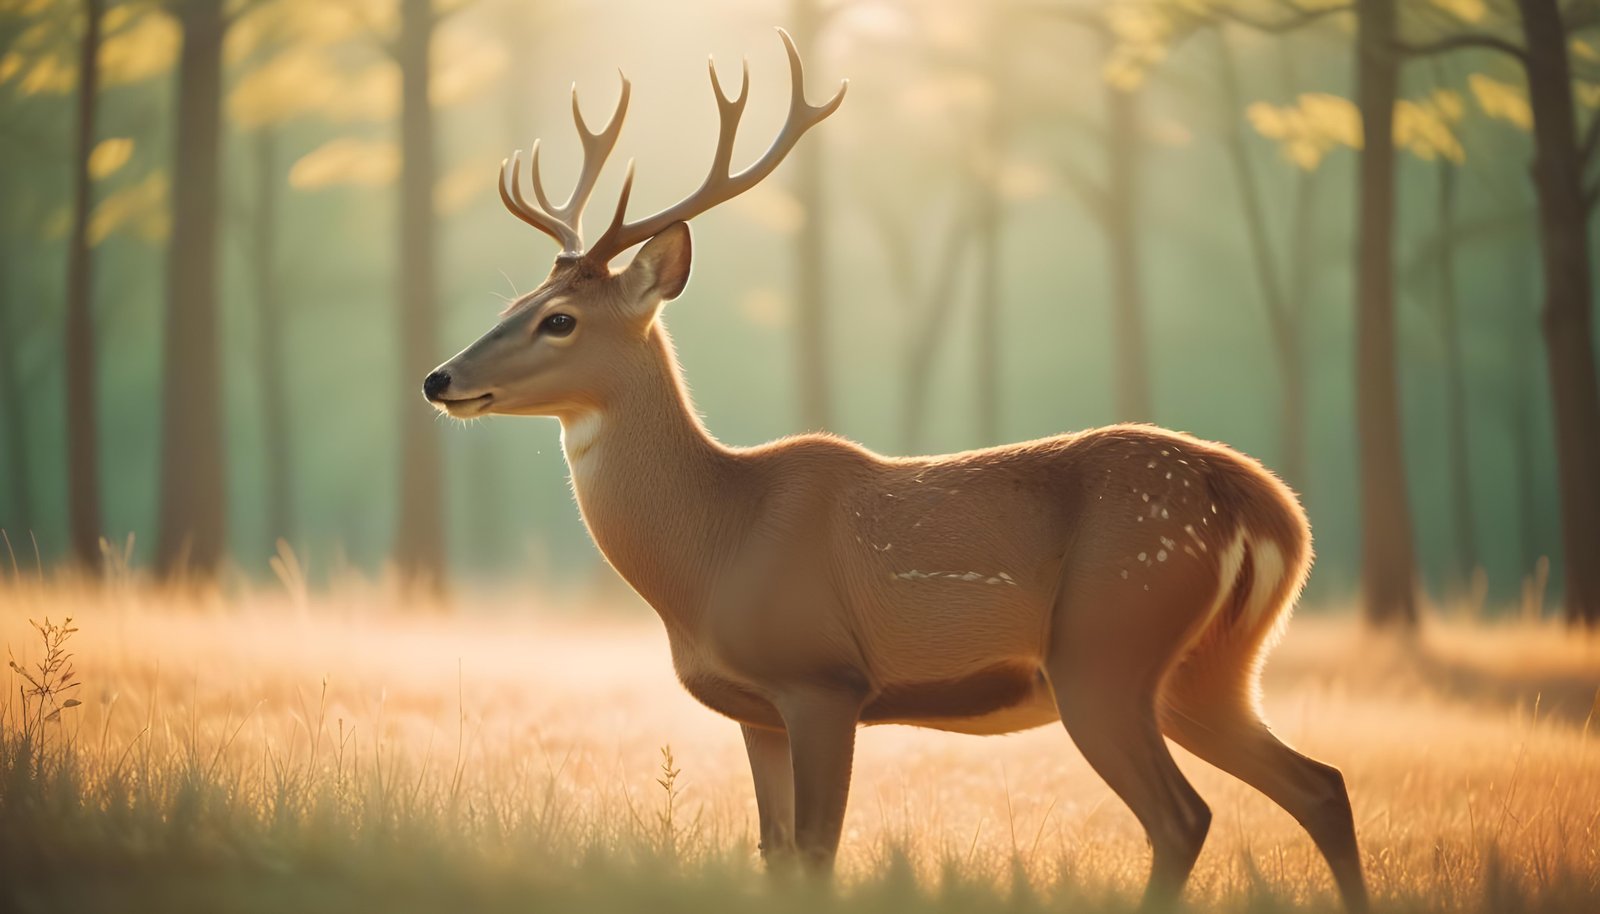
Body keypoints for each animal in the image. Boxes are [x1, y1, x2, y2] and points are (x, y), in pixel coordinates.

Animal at [423, 29, 1369, 913]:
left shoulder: (822, 678)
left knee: (1184, 815)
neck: (712, 553)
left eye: (559, 320)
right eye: (514, 302)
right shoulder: (755, 711)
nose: (439, 378)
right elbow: (775, 854)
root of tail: (1266, 507)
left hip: (1111, 638)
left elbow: (817, 852)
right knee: (1322, 784)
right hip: (1208, 667)